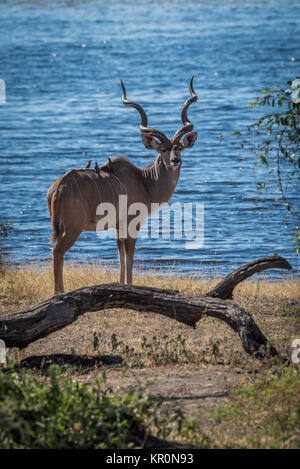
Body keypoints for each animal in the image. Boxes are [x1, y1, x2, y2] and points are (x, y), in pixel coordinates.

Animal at [46, 77, 197, 292]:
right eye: (163, 150)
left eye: (179, 148)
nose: (176, 160)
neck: (145, 181)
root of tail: (58, 187)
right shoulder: (133, 222)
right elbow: (130, 255)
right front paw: (130, 286)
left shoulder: (118, 226)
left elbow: (120, 254)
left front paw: (120, 284)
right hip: (74, 227)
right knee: (57, 252)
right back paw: (59, 292)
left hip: (61, 227)